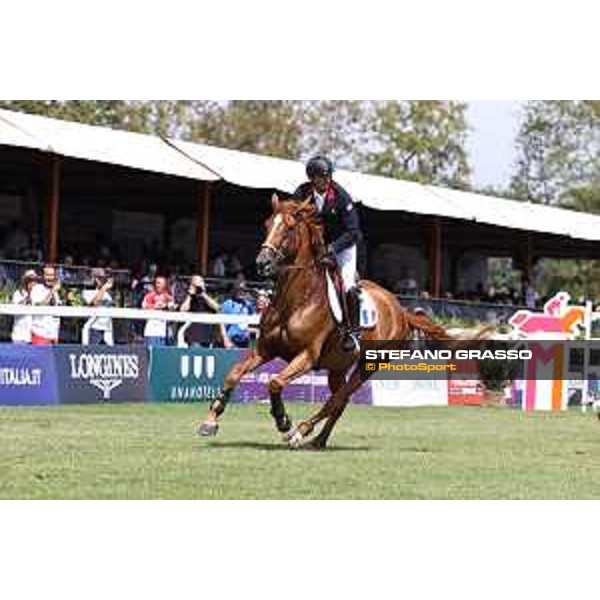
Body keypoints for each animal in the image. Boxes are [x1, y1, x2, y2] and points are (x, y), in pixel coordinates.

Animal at [199, 195, 458, 448]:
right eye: (267, 224)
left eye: (289, 228)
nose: (263, 263)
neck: (296, 300)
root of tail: (400, 310)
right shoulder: (265, 349)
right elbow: (233, 374)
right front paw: (210, 421)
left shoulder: (307, 356)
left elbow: (275, 383)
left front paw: (284, 421)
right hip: (338, 365)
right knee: (339, 400)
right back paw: (318, 440)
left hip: (369, 364)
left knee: (338, 398)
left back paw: (300, 432)